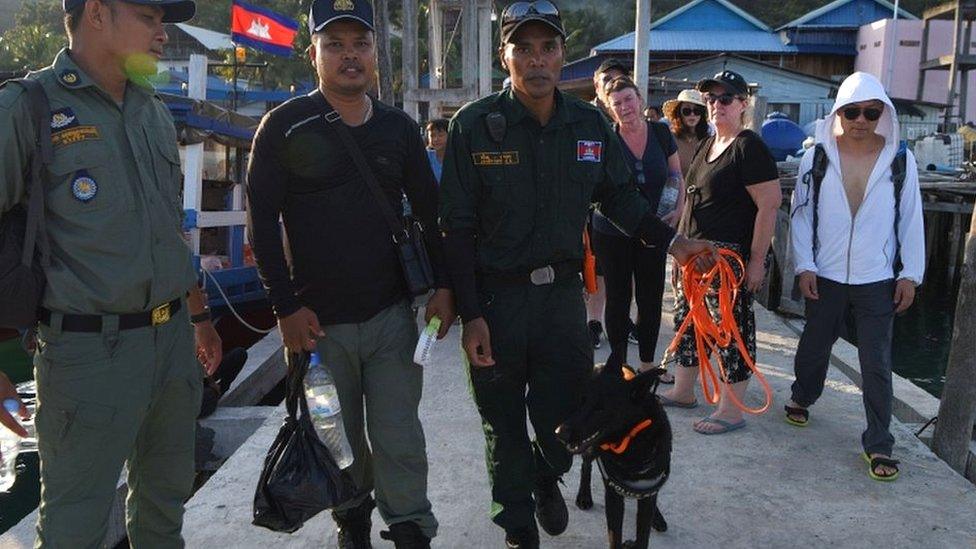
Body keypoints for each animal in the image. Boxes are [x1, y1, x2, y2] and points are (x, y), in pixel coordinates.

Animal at [556, 360, 672, 548]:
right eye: (582, 400)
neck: (633, 442)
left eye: (601, 409)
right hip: (590, 450)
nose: (559, 433)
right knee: (586, 466)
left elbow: (643, 535)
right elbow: (615, 536)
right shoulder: (613, 495)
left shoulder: (648, 490)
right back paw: (584, 496)